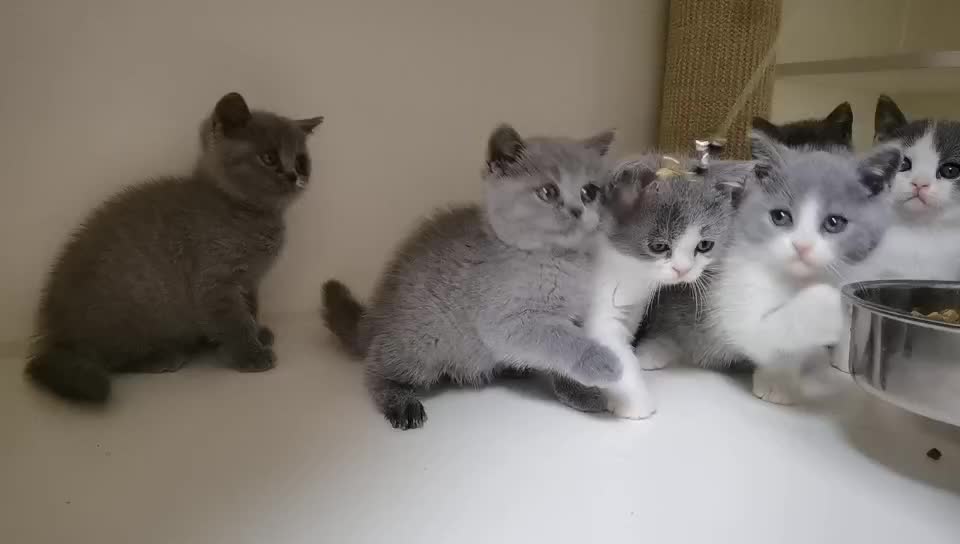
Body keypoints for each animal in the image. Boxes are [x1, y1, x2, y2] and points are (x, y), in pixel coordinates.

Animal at [26, 92, 324, 403]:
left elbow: (250, 310)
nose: (294, 176)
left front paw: (257, 333)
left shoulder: (248, 281)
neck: (245, 213)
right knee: (109, 358)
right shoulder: (214, 281)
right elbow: (234, 321)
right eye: (269, 157)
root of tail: (53, 336)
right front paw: (251, 353)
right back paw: (163, 356)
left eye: (301, 162)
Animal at [322, 124, 622, 430]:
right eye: (548, 191)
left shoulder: (572, 317)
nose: (577, 210)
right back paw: (400, 402)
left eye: (589, 191)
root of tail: (374, 317)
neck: (560, 261)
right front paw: (603, 362)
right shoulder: (510, 323)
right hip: (421, 345)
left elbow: (561, 357)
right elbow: (564, 342)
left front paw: (579, 392)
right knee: (376, 367)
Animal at [550, 154, 755, 415]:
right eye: (659, 246)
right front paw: (635, 403)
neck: (631, 269)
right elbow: (607, 341)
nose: (683, 270)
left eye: (705, 245)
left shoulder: (633, 306)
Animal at [621, 132, 901, 404]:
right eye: (780, 216)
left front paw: (780, 380)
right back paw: (654, 351)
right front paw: (828, 305)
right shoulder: (732, 295)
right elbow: (763, 330)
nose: (802, 246)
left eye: (834, 222)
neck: (794, 281)